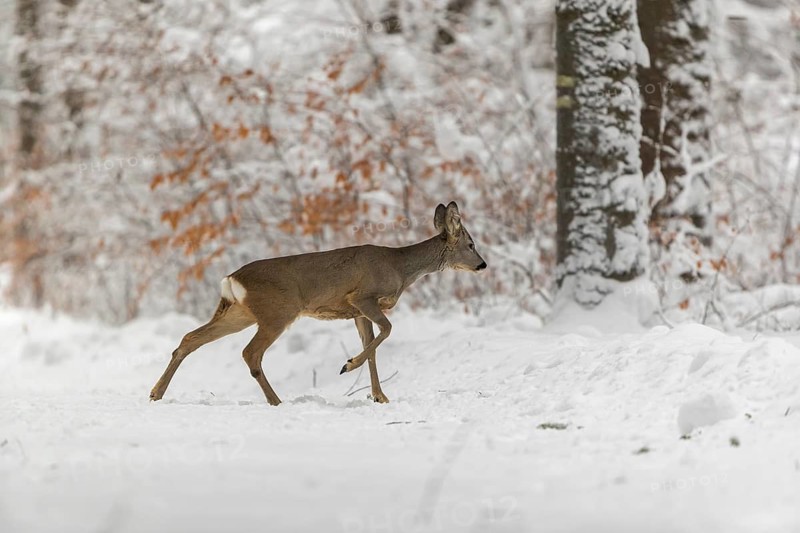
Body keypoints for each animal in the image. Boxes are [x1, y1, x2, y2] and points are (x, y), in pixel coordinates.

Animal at [150, 201, 486, 406]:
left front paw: (379, 397)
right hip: (277, 311)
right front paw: (348, 366)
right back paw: (276, 401)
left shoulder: (356, 311)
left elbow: (372, 346)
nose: (482, 264)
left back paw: (155, 393)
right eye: (471, 244)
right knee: (250, 352)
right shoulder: (362, 296)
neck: (400, 268)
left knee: (190, 338)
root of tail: (231, 278)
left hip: (240, 312)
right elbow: (387, 331)